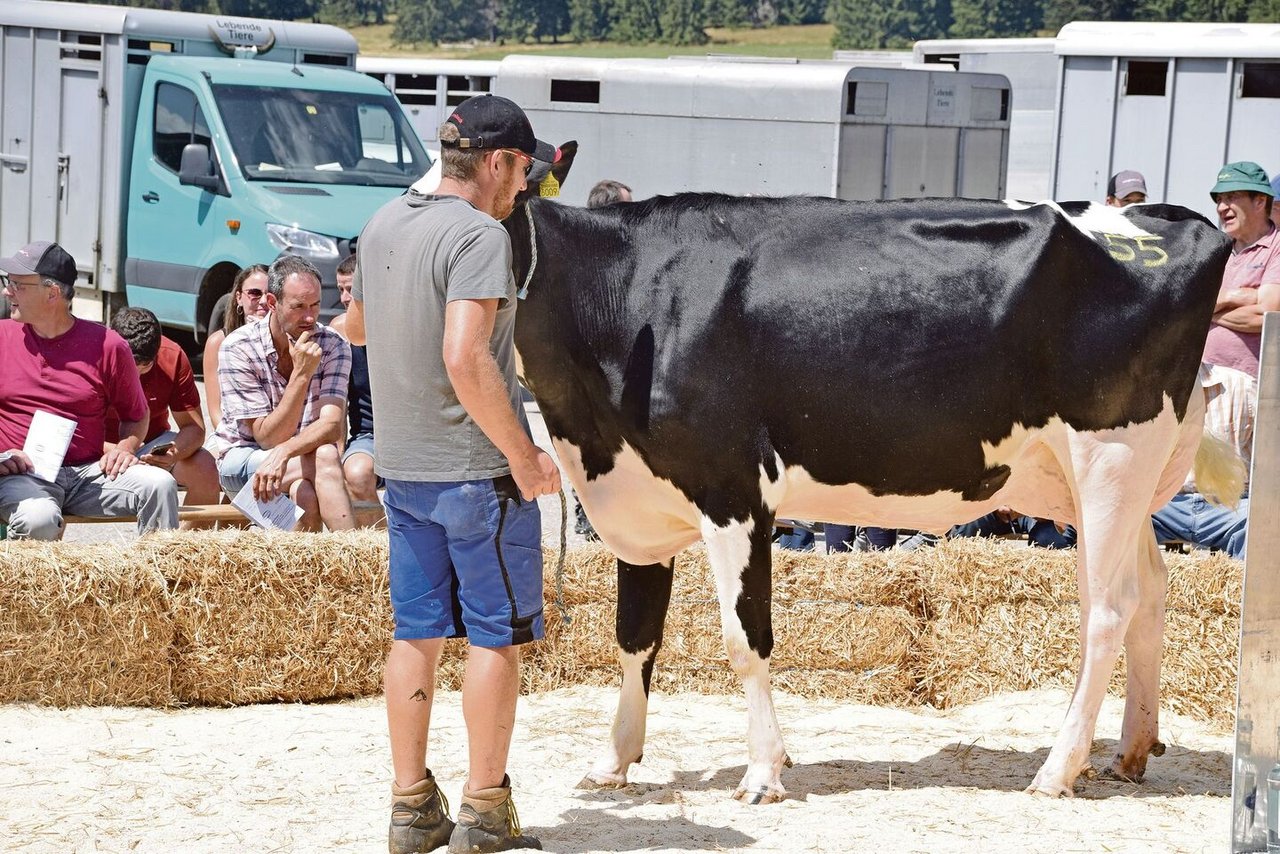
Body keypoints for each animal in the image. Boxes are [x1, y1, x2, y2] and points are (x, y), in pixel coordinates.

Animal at [504, 151, 1233, 804]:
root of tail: (1181, 219)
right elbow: (634, 638)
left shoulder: (734, 491)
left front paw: (763, 772)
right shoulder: (639, 505)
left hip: (1110, 456)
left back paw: (1057, 770)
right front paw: (613, 763)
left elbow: (746, 639)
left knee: (1107, 609)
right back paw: (1130, 752)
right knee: (1150, 590)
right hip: (1110, 484)